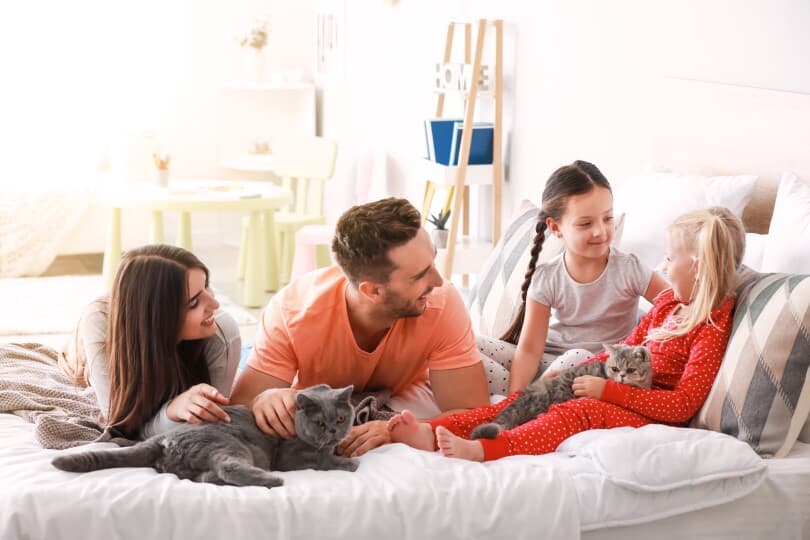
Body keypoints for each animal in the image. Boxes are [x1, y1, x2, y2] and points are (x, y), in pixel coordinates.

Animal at [50, 384, 354, 490]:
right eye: (319, 423)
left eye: (341, 419)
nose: (333, 431)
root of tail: (161, 441)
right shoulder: (289, 455)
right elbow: (319, 459)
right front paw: (347, 462)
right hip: (229, 445)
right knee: (228, 467)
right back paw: (271, 480)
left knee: (206, 477)